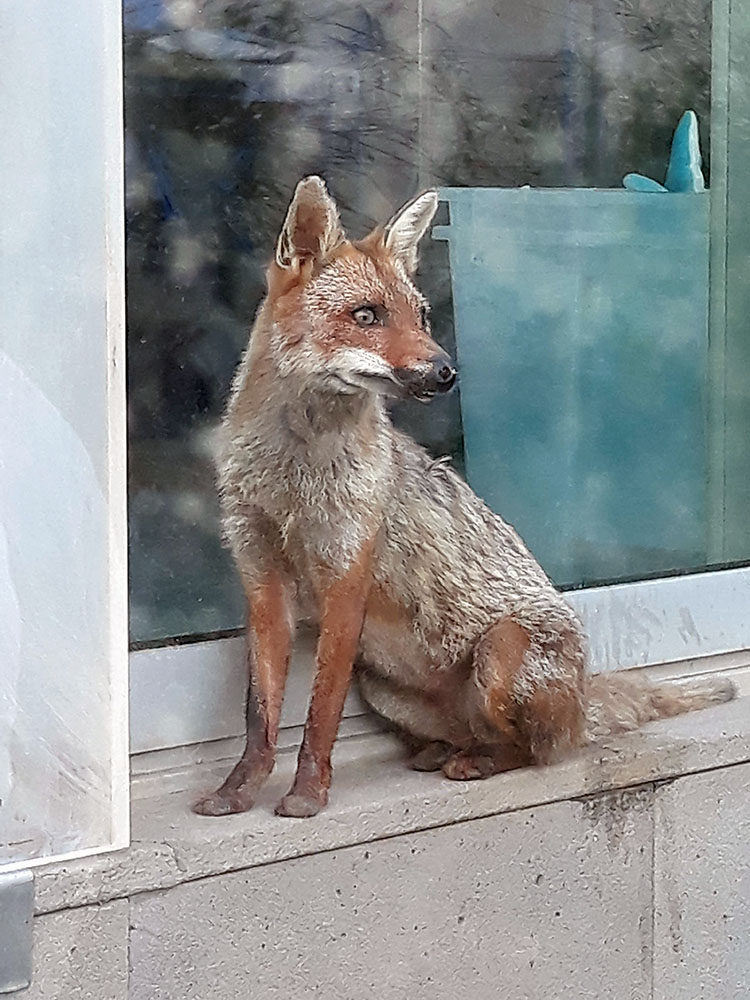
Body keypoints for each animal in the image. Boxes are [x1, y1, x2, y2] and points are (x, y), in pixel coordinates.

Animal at [194, 176, 740, 820]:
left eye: (422, 315)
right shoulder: (263, 582)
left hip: (499, 655)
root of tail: (583, 699)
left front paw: (307, 796)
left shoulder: (345, 582)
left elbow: (319, 716)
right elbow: (261, 716)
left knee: (537, 751)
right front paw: (237, 792)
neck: (292, 479)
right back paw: (439, 751)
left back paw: (478, 761)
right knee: (483, 736)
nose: (447, 371)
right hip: (383, 688)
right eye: (367, 315)